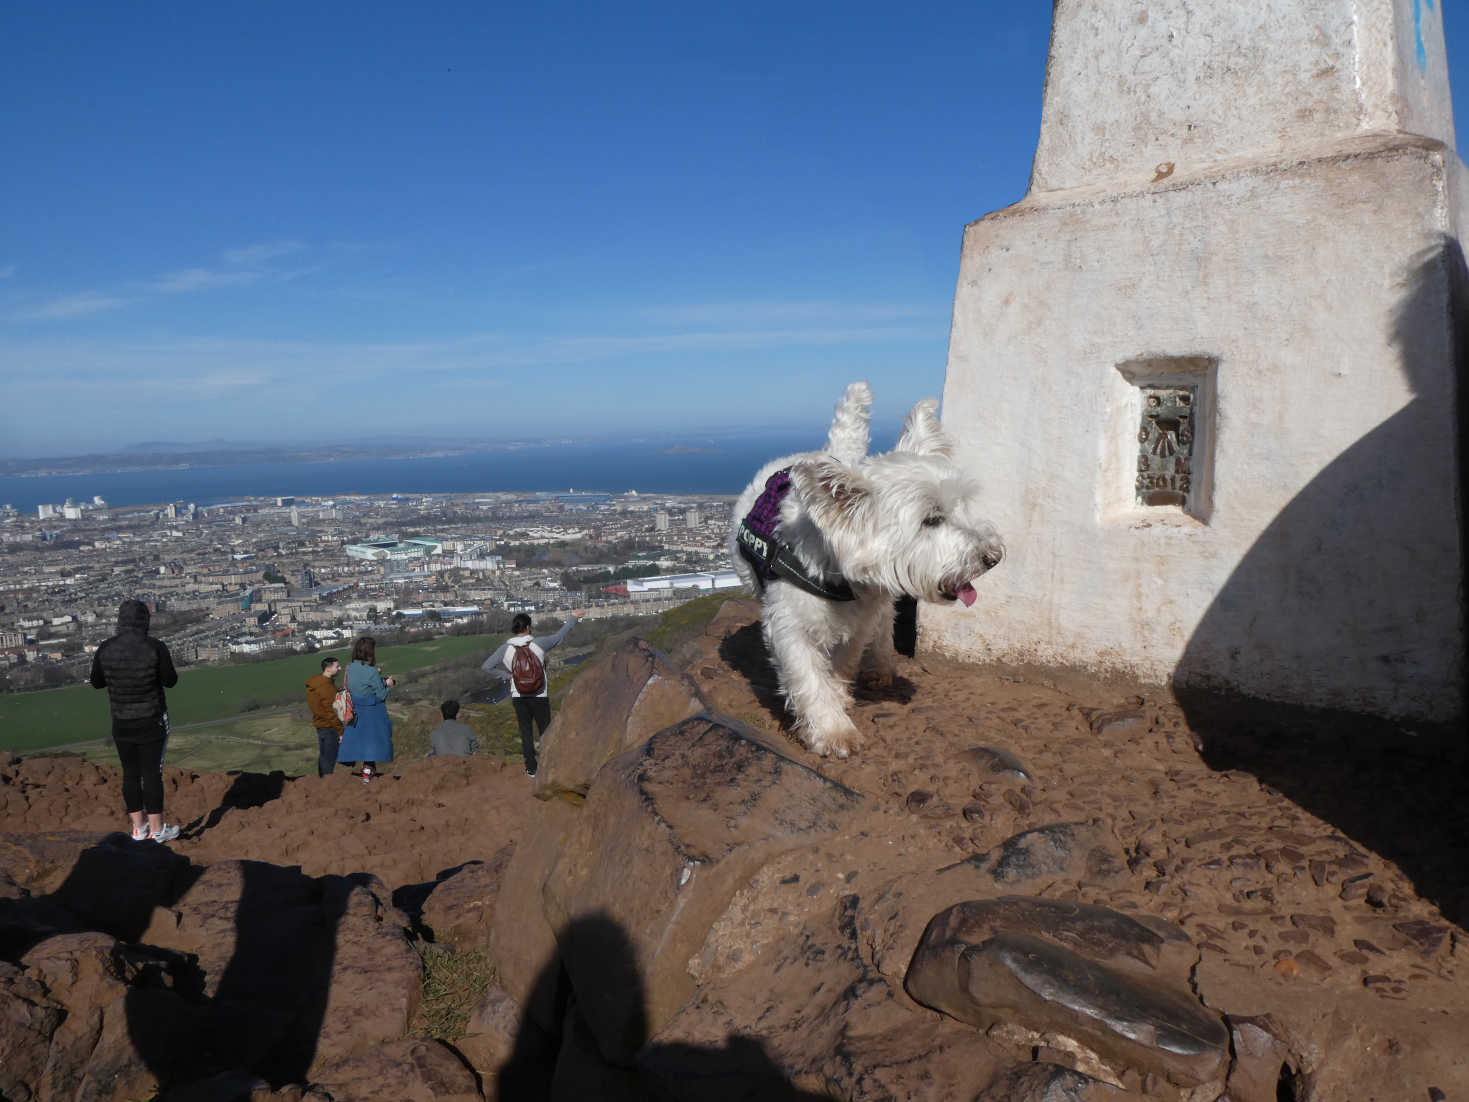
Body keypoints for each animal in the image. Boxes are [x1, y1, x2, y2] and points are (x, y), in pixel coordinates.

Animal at [728, 382, 1004, 758]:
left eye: (962, 505)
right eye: (931, 519)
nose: (993, 556)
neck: (839, 577)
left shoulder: (859, 621)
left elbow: (843, 663)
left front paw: (839, 697)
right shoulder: (788, 626)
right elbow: (809, 676)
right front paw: (832, 729)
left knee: (885, 625)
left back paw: (881, 667)